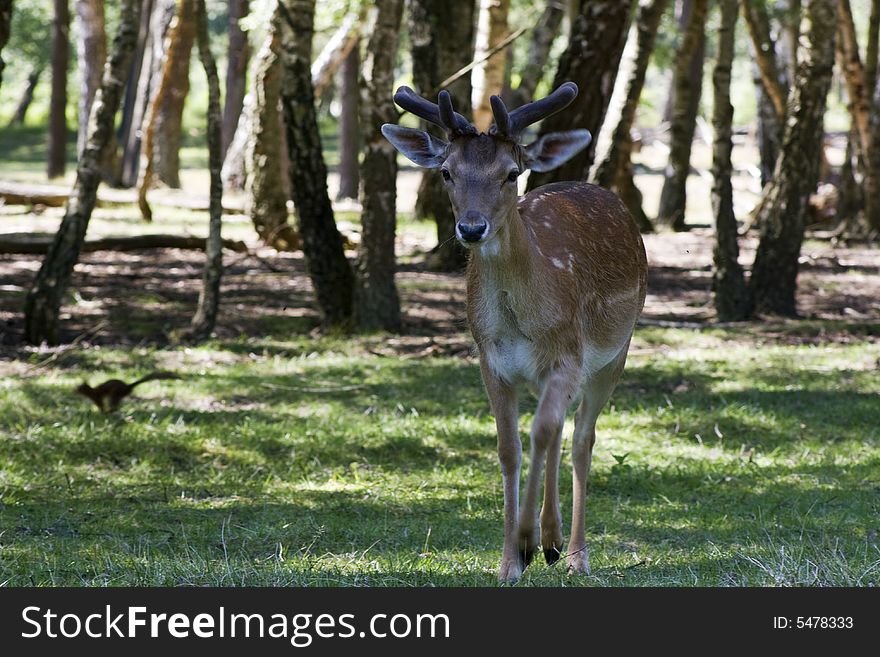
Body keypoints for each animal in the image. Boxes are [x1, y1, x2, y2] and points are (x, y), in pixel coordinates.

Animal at [384, 83, 648, 584]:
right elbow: (511, 449)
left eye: (510, 173)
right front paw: (510, 562)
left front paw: (532, 542)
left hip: (614, 354)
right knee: (561, 432)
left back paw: (574, 553)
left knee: (581, 440)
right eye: (446, 172)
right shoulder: (490, 362)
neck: (521, 323)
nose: (471, 228)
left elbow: (542, 433)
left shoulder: (568, 355)